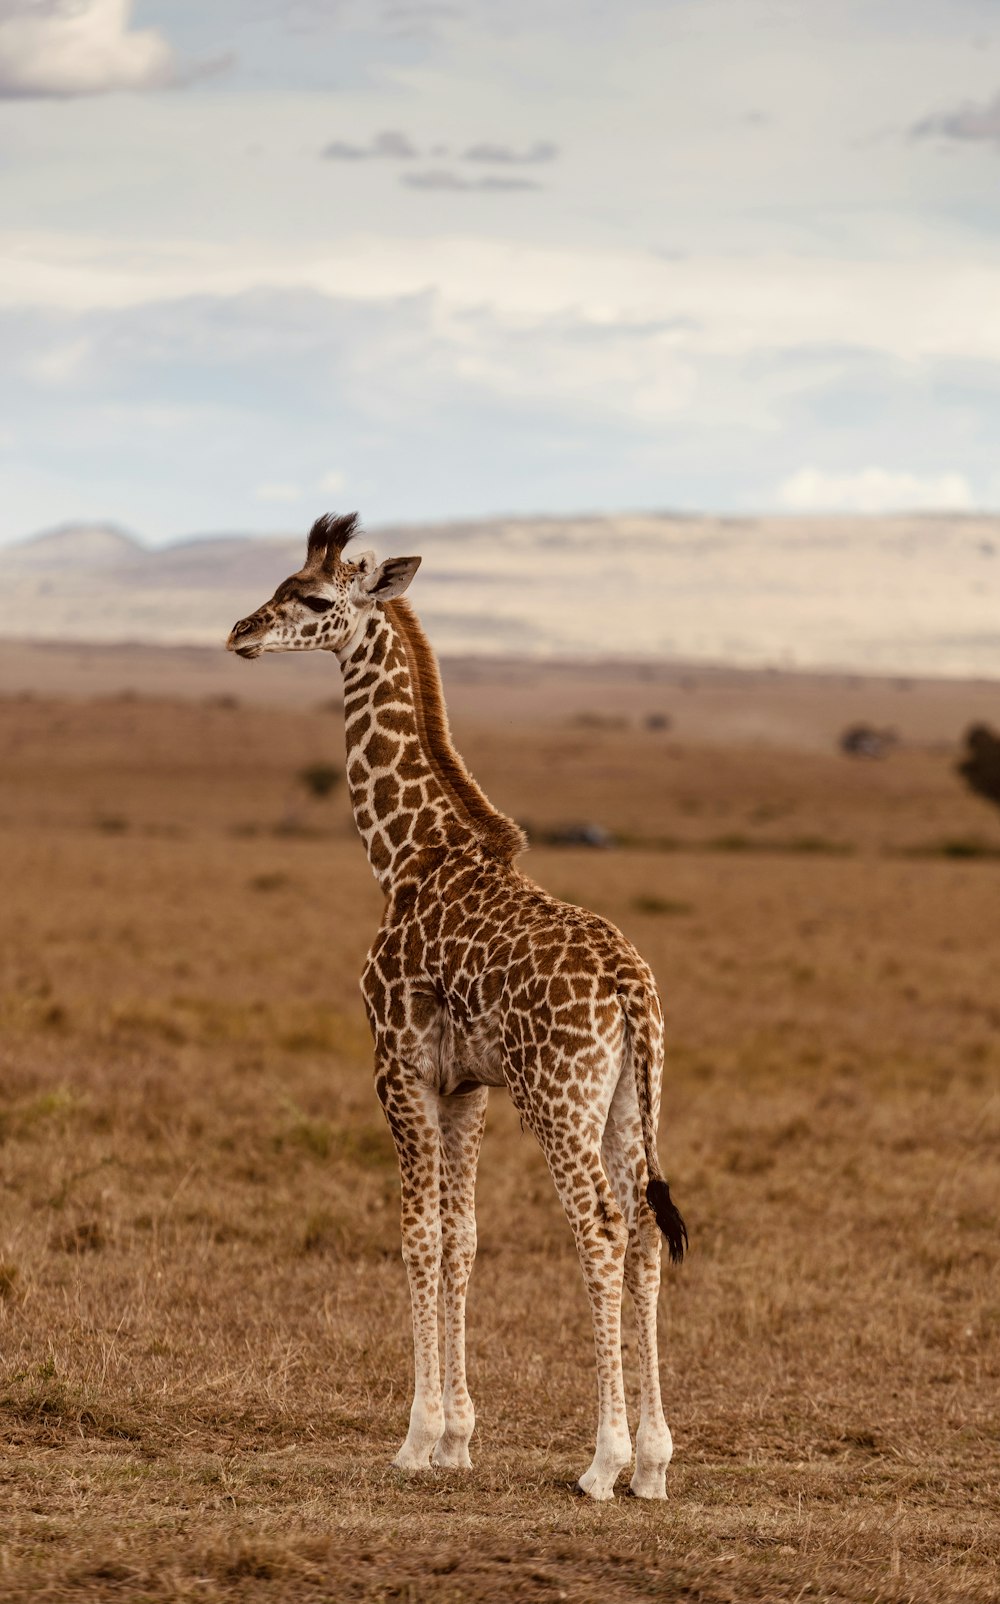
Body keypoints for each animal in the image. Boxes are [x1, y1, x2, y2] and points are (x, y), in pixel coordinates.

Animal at [224, 516, 686, 1501]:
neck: (406, 855)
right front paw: (461, 1439)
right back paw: (655, 1462)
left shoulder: (396, 1065)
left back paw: (602, 1462)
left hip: (558, 1099)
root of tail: (631, 987)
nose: (239, 632)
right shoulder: (465, 1085)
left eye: (310, 598)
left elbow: (418, 1235)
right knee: (641, 1234)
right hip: (631, 1101)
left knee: (600, 1227)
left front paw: (417, 1438)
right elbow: (464, 1236)